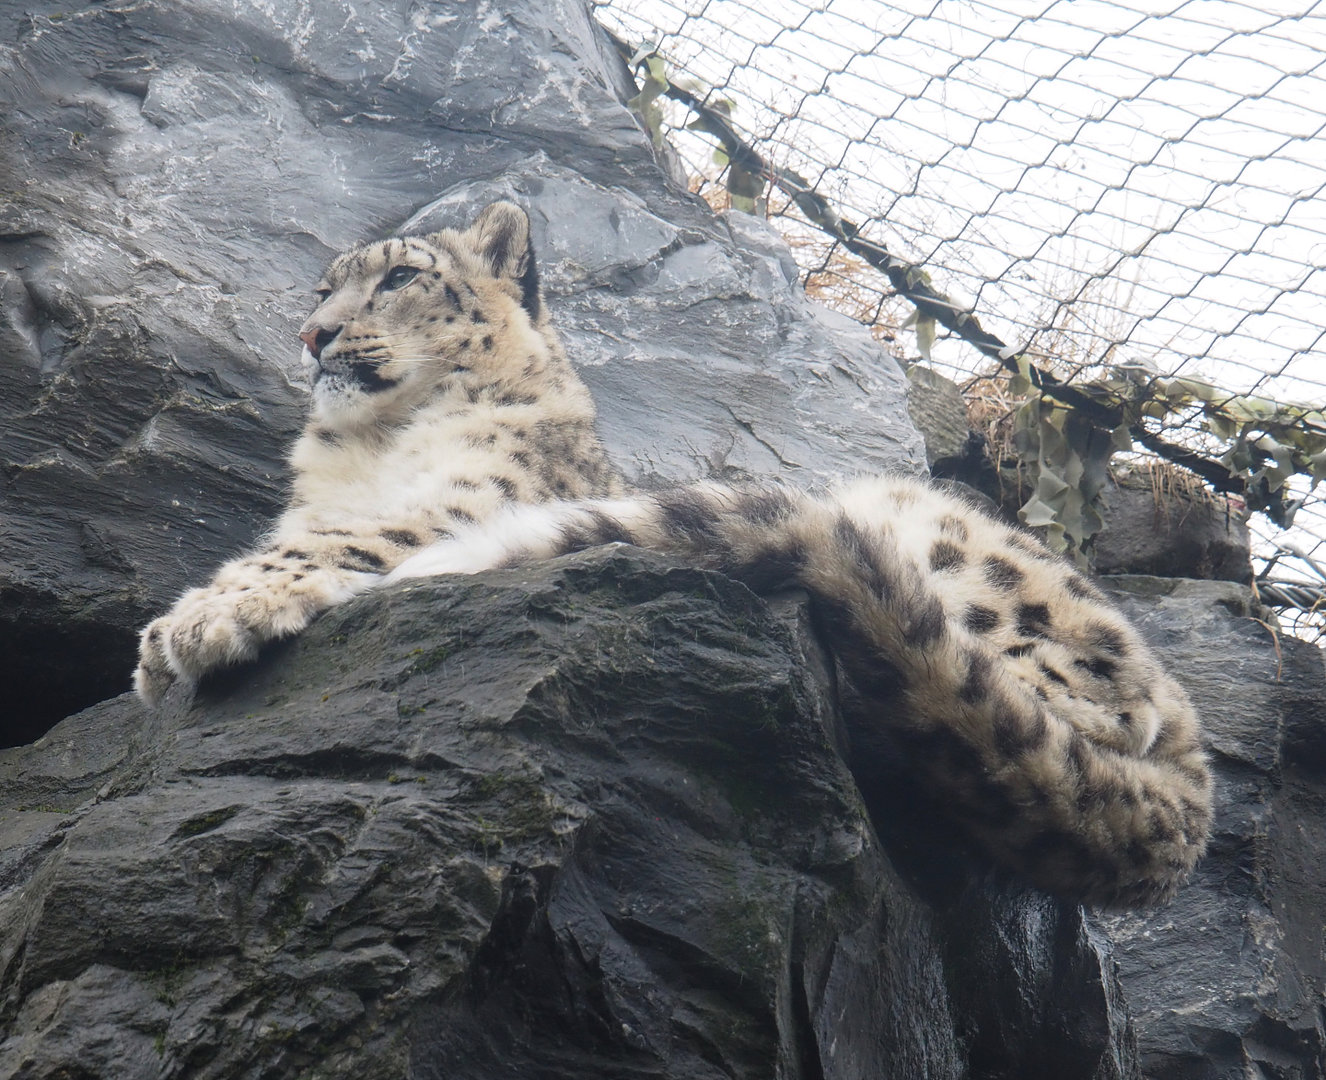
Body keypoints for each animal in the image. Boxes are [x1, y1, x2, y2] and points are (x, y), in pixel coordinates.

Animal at [136, 200, 1212, 908]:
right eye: (324, 287)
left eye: (399, 277)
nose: (312, 332)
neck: (369, 448)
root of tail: (1191, 792)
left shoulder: (469, 501)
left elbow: (343, 541)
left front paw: (190, 627)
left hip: (933, 535)